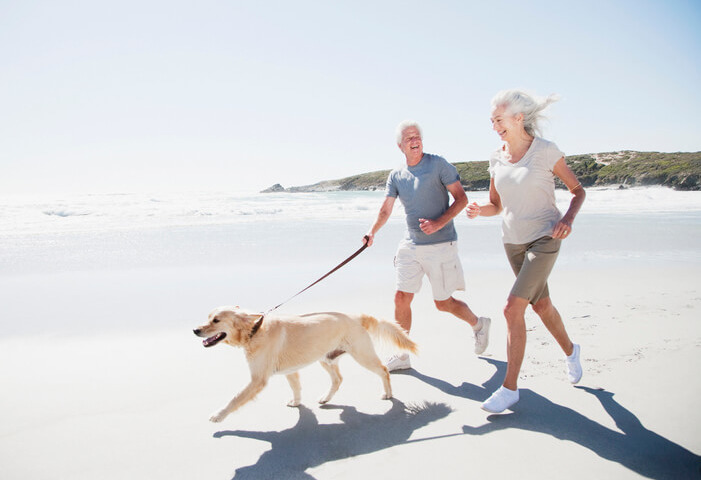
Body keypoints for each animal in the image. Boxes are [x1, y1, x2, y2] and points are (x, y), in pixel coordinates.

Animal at [191, 306, 416, 422]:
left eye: (216, 320)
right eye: (208, 317)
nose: (195, 330)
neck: (254, 331)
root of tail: (357, 316)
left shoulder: (257, 379)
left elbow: (235, 398)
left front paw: (218, 415)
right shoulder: (289, 371)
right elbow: (296, 388)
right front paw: (297, 402)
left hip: (362, 355)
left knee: (384, 370)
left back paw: (388, 393)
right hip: (325, 358)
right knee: (338, 379)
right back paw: (326, 398)